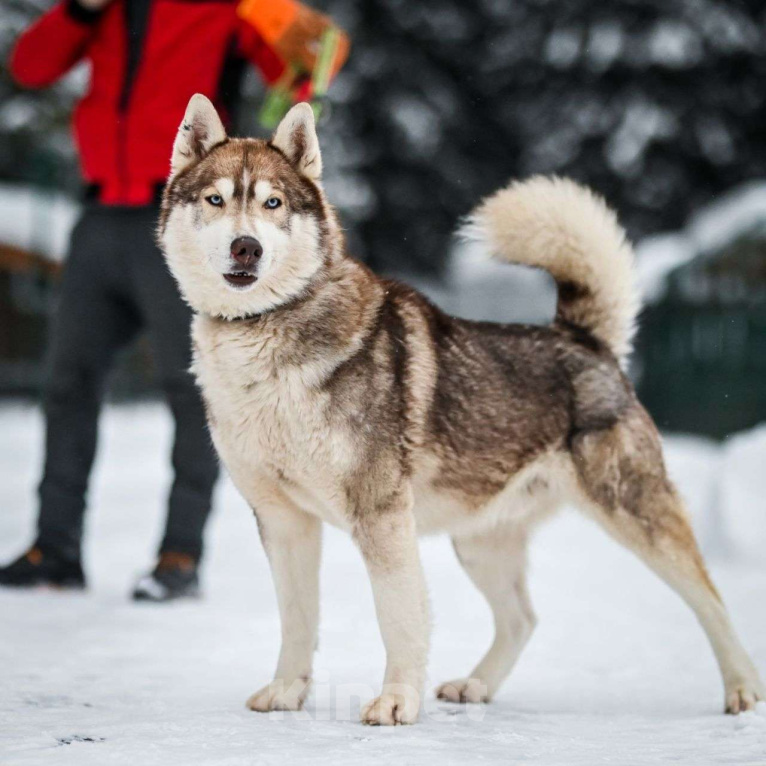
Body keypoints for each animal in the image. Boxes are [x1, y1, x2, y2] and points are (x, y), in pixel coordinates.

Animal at [159, 94, 764, 728]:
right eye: (216, 200)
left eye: (272, 203)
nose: (245, 247)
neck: (266, 337)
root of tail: (585, 340)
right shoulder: (282, 520)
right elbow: (297, 619)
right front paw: (285, 693)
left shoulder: (380, 515)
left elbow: (398, 617)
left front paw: (397, 702)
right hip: (479, 541)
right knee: (523, 618)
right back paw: (476, 685)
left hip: (635, 514)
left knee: (710, 599)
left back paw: (742, 689)